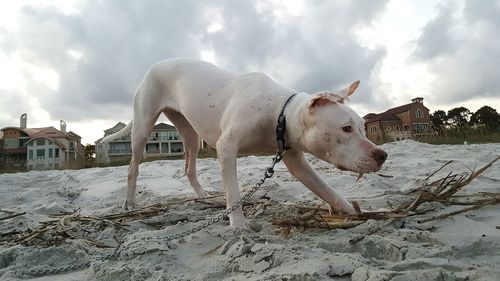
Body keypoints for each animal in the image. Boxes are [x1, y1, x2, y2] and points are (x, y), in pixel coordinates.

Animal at [103, 57, 386, 228]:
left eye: (363, 128)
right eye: (346, 129)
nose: (382, 155)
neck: (280, 112)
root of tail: (155, 65)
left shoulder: (296, 160)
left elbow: (327, 190)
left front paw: (352, 210)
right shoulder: (226, 147)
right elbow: (235, 193)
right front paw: (238, 225)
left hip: (191, 135)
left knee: (189, 167)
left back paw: (202, 196)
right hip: (142, 128)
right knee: (132, 168)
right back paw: (130, 203)